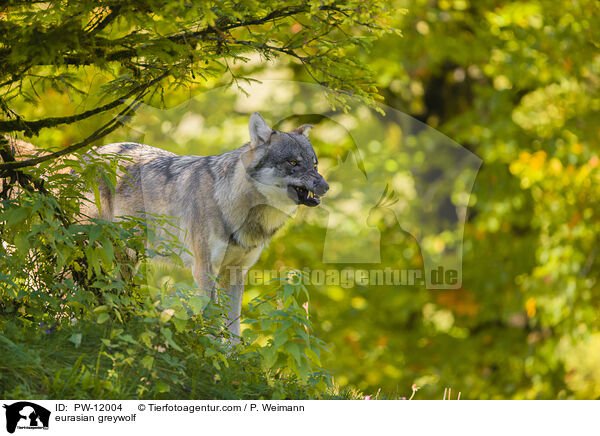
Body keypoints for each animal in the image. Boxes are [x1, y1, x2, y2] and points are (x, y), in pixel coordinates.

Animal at [84, 112, 328, 338]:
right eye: (293, 163)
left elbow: (233, 330)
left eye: (315, 164)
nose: (325, 186)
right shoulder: (204, 269)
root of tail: (87, 154)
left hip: (127, 259)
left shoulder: (235, 273)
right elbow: (211, 321)